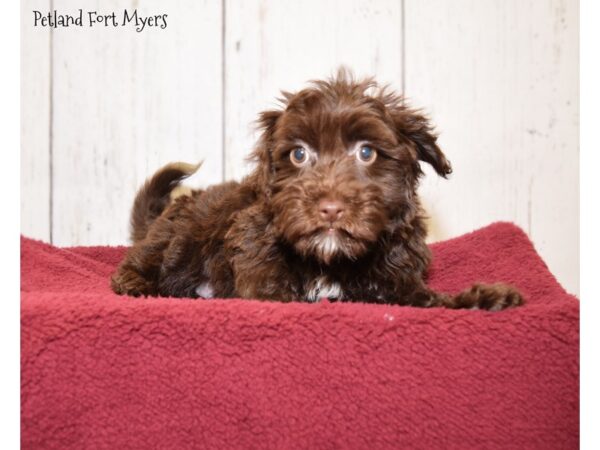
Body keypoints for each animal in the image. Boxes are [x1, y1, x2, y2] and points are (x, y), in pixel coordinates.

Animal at [110, 70, 524, 312]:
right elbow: (275, 295)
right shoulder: (255, 255)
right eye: (299, 154)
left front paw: (483, 300)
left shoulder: (397, 281)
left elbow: (424, 301)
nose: (330, 208)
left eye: (367, 152)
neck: (330, 258)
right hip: (180, 238)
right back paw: (135, 281)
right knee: (147, 258)